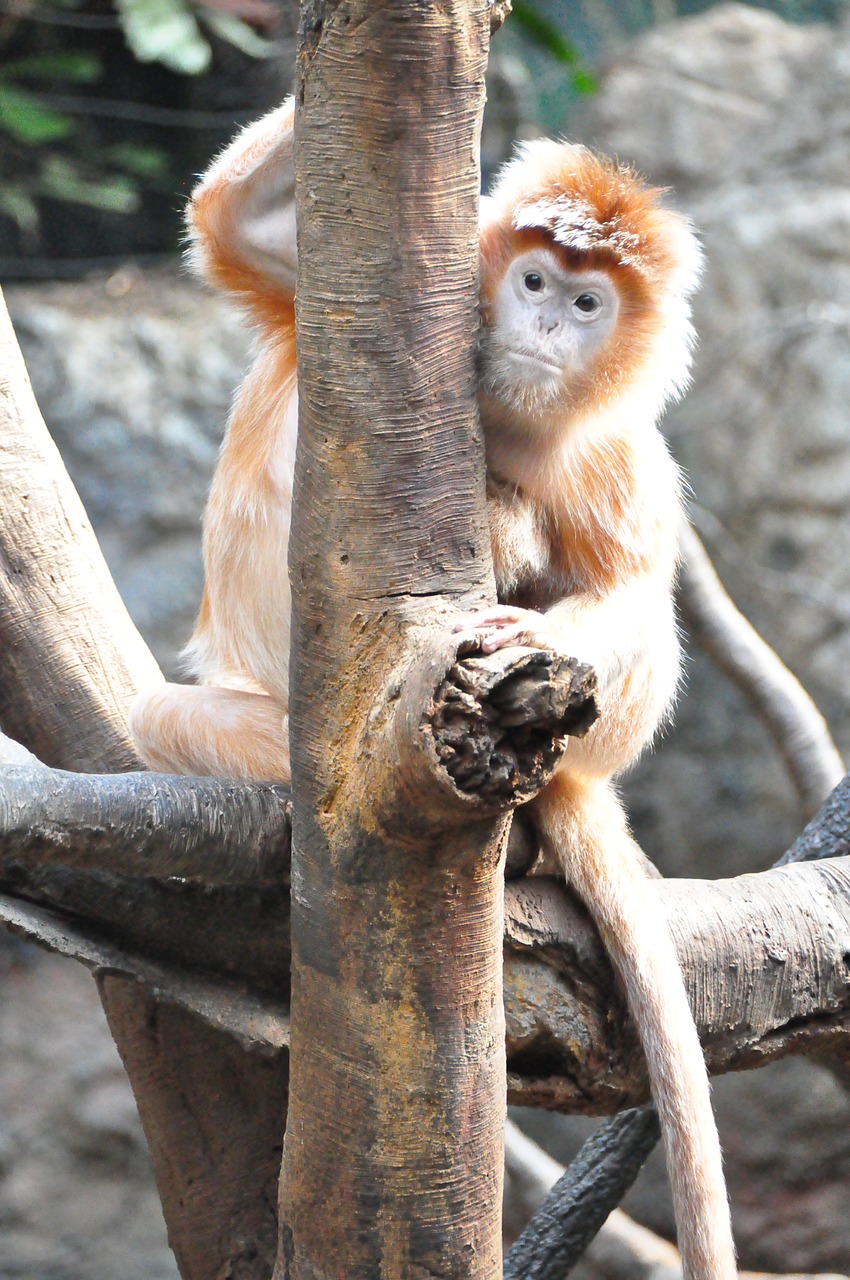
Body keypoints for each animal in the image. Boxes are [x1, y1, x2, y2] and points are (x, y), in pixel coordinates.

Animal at [129, 102, 732, 1280]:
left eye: (587, 304)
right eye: (534, 280)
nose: (545, 326)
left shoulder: (620, 455)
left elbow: (637, 615)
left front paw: (532, 628)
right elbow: (235, 220)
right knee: (162, 716)